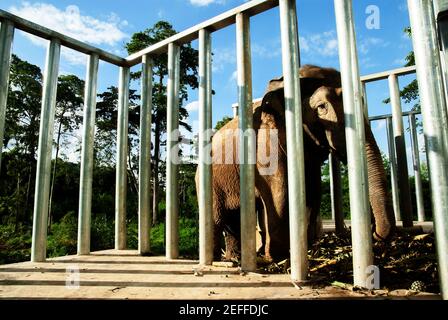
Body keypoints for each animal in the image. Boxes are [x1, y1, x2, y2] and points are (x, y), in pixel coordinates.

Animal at [196, 65, 396, 262]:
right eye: (322, 107)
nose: (374, 233)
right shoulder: (266, 139)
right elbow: (280, 191)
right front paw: (277, 257)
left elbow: (313, 190)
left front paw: (305, 248)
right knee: (217, 218)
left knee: (233, 220)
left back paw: (234, 259)